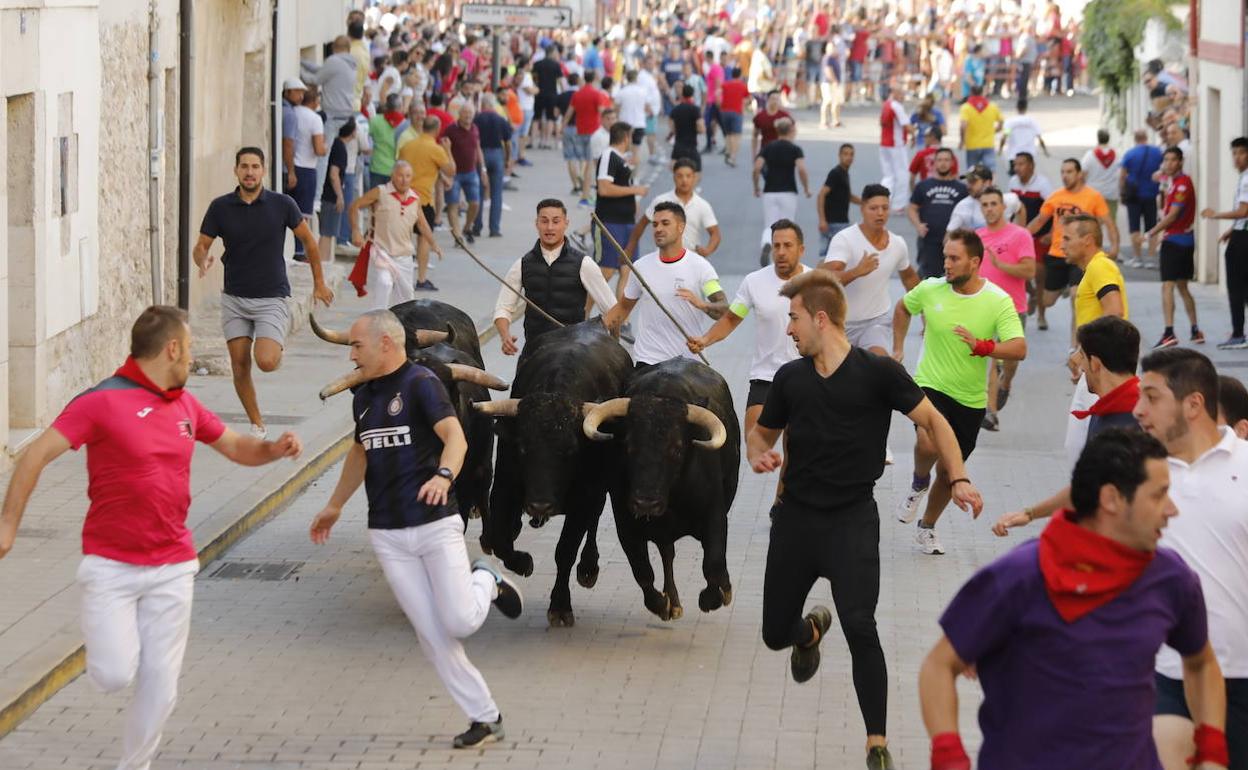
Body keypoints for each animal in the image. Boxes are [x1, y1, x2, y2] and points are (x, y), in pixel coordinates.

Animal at [476, 318, 633, 623]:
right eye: (522, 447)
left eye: (570, 451)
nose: (540, 505)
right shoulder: (504, 487)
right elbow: (500, 539)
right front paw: (523, 561)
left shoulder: (585, 498)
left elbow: (565, 550)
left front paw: (560, 605)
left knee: (594, 522)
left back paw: (588, 568)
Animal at [579, 359, 733, 618]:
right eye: (628, 446)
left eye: (677, 448)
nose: (646, 503)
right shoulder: (626, 524)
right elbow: (642, 570)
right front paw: (661, 604)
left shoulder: (715, 515)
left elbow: (713, 563)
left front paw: (714, 596)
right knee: (666, 554)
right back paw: (673, 602)